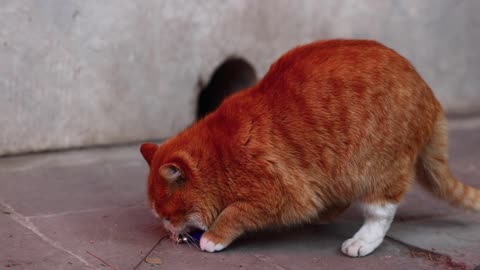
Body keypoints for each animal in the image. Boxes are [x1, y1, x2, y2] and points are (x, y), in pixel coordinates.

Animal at [141, 39, 478, 256]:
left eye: (167, 215)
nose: (168, 232)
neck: (220, 155)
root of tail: (429, 95)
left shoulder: (275, 193)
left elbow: (235, 212)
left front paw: (213, 237)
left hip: (375, 168)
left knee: (381, 212)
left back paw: (362, 242)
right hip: (339, 170)